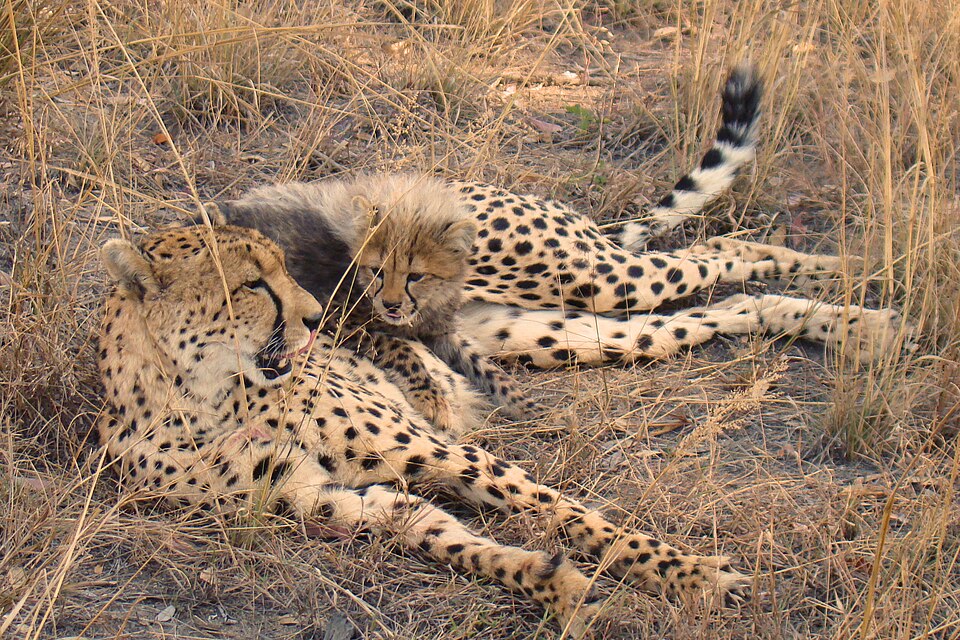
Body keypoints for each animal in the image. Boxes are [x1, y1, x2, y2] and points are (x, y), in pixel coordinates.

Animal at [97, 222, 752, 637]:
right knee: (676, 324)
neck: (200, 394)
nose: (318, 318)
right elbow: (441, 533)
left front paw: (690, 575)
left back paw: (773, 275)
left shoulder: (436, 448)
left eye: (280, 269)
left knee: (687, 282)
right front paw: (555, 583)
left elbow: (566, 513)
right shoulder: (314, 498)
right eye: (251, 284)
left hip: (586, 292)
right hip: (543, 335)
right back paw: (774, 306)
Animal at [210, 174, 536, 433]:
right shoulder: (338, 321)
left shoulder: (439, 329)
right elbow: (402, 349)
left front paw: (517, 397)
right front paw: (432, 399)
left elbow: (479, 360)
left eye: (415, 276)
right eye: (378, 271)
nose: (391, 305)